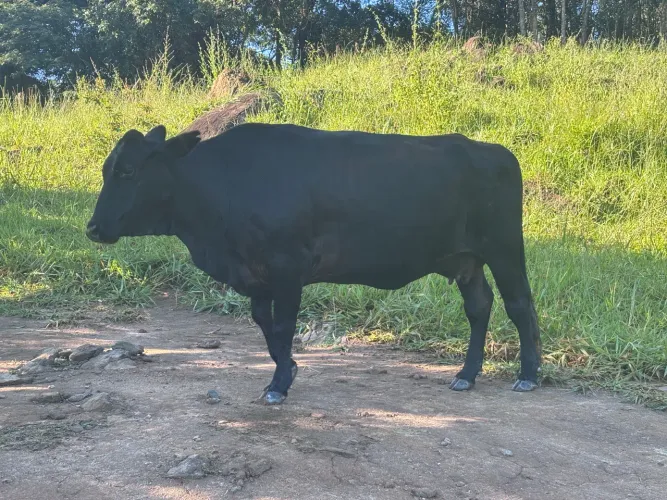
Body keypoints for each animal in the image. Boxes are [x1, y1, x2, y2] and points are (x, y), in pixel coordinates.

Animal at [86, 122, 541, 405]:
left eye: (127, 171)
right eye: (109, 169)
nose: (93, 228)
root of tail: (493, 150)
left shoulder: (288, 266)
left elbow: (284, 326)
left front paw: (278, 384)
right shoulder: (256, 276)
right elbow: (266, 326)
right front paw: (288, 369)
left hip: (504, 248)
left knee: (520, 305)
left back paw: (529, 376)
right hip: (465, 261)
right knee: (479, 307)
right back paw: (467, 374)